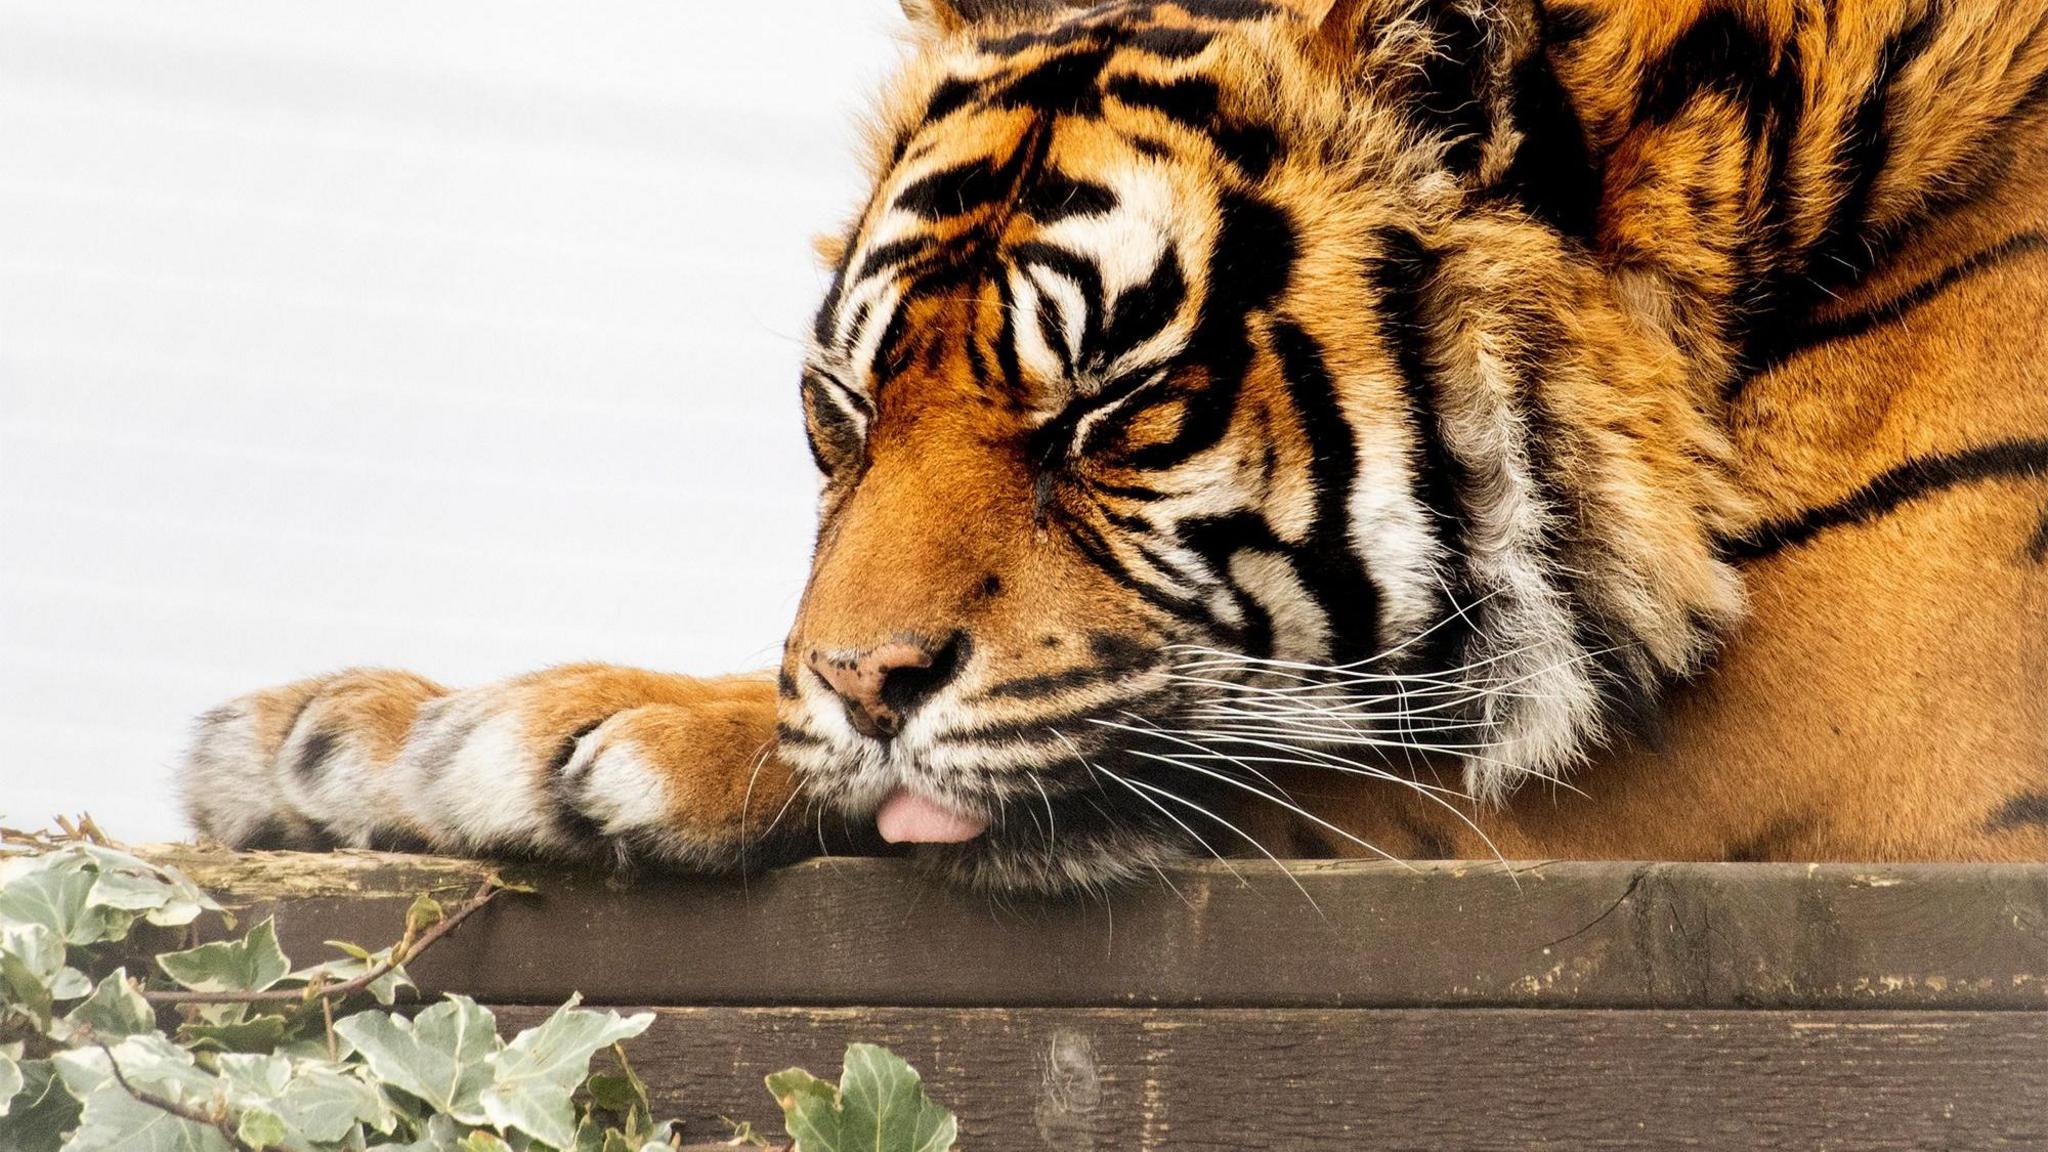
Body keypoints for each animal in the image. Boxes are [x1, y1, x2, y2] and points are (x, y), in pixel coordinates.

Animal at [180, 0, 2048, 889]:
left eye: (1115, 414)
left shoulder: (1843, 749)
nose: (863, 683)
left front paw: (519, 734)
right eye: (838, 415)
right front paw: (325, 737)